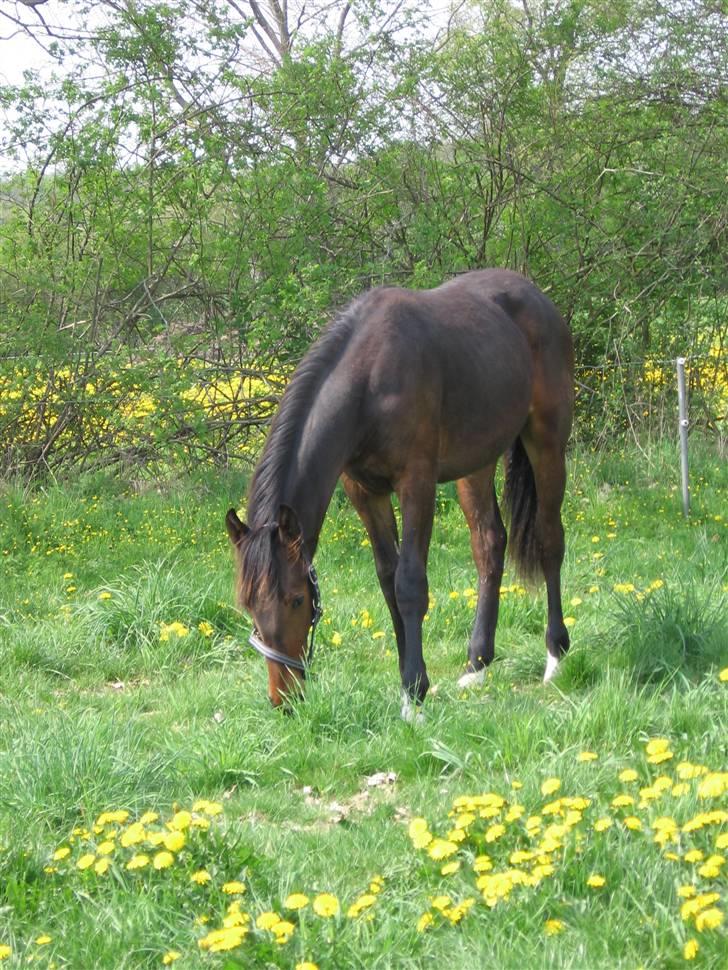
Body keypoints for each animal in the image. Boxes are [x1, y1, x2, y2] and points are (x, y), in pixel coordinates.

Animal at [228, 268, 576, 716]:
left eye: (296, 600)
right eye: (250, 606)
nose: (283, 699)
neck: (369, 383)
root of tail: (535, 296)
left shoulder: (416, 483)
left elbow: (409, 584)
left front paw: (413, 695)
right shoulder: (364, 492)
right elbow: (388, 580)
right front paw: (408, 680)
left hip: (546, 441)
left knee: (550, 539)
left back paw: (555, 656)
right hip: (475, 462)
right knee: (489, 545)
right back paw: (477, 663)